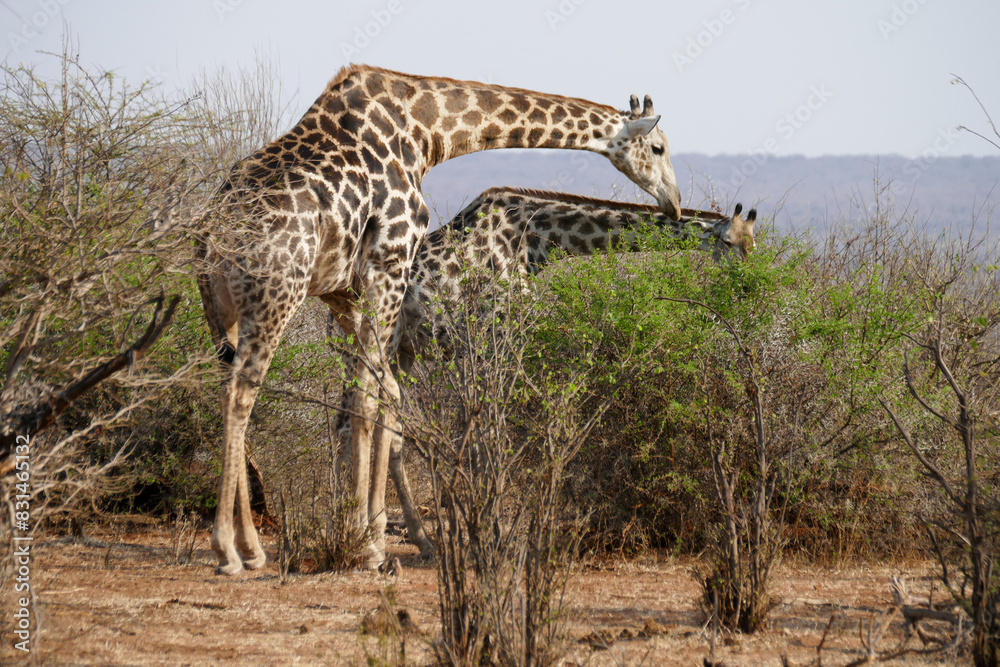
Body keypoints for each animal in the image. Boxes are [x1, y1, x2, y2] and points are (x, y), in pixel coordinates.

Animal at [197, 65, 683, 575]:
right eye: (657, 147)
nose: (674, 202)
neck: (428, 132)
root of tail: (206, 235)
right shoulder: (389, 260)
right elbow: (375, 402)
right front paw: (368, 545)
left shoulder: (348, 288)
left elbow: (376, 402)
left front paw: (365, 532)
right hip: (278, 296)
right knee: (243, 394)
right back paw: (233, 548)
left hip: (227, 313)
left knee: (229, 387)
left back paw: (252, 547)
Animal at [334, 188, 757, 556]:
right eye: (727, 243)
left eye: (755, 245)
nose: (749, 286)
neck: (535, 241)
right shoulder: (494, 339)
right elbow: (489, 436)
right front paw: (490, 530)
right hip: (375, 343)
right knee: (357, 417)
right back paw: (361, 535)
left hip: (401, 352)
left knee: (379, 423)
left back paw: (410, 537)